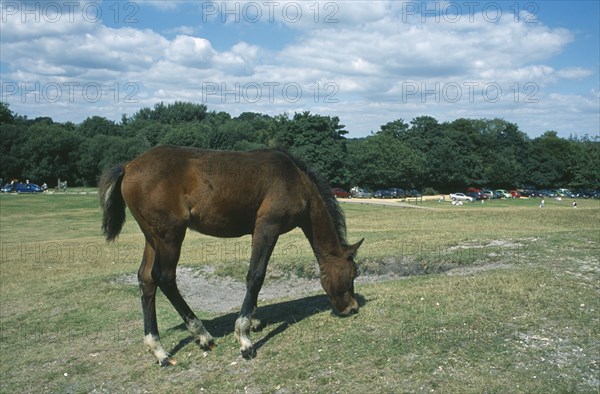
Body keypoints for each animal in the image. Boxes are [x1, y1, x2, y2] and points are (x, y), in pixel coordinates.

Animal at [99, 145, 364, 366]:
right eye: (353, 273)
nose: (352, 308)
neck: (294, 179)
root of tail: (129, 166)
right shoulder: (268, 226)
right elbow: (256, 275)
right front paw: (244, 337)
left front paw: (253, 320)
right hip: (170, 236)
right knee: (163, 277)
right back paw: (202, 334)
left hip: (152, 237)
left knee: (146, 279)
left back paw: (159, 350)